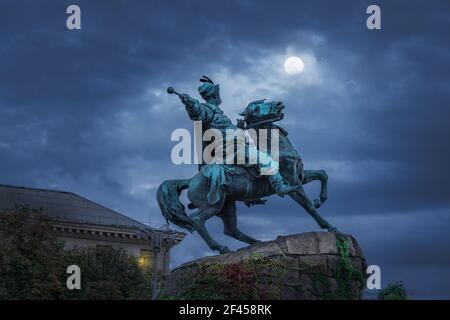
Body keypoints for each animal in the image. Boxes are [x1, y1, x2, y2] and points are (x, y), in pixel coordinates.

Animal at [157, 99, 338, 254]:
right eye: (256, 109)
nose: (279, 104)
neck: (277, 148)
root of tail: (190, 181)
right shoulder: (294, 184)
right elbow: (308, 205)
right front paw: (329, 226)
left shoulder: (300, 176)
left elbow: (323, 174)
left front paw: (321, 199)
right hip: (212, 206)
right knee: (196, 221)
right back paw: (222, 247)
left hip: (227, 206)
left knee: (230, 230)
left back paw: (257, 243)